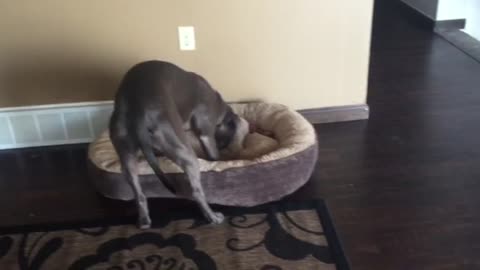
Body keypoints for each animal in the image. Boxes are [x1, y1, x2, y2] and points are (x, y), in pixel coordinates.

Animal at [109, 59, 249, 228]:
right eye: (225, 140)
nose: (223, 147)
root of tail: (138, 112)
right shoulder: (206, 135)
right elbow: (213, 153)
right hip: (185, 153)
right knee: (196, 192)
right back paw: (213, 217)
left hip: (125, 152)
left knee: (139, 193)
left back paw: (144, 221)